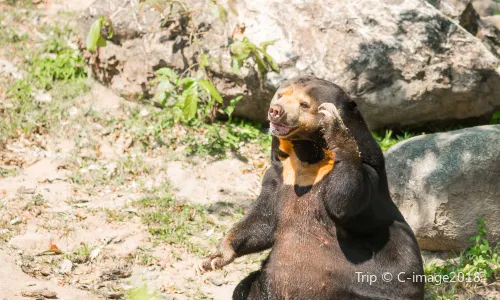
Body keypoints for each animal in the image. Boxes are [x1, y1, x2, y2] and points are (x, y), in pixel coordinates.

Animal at [197, 77, 424, 300]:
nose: (275, 111)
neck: (308, 159)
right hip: (264, 284)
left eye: (304, 104)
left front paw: (336, 127)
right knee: (243, 288)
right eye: (280, 95)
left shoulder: (371, 174)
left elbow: (346, 202)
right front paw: (213, 258)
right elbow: (262, 220)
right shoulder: (277, 177)